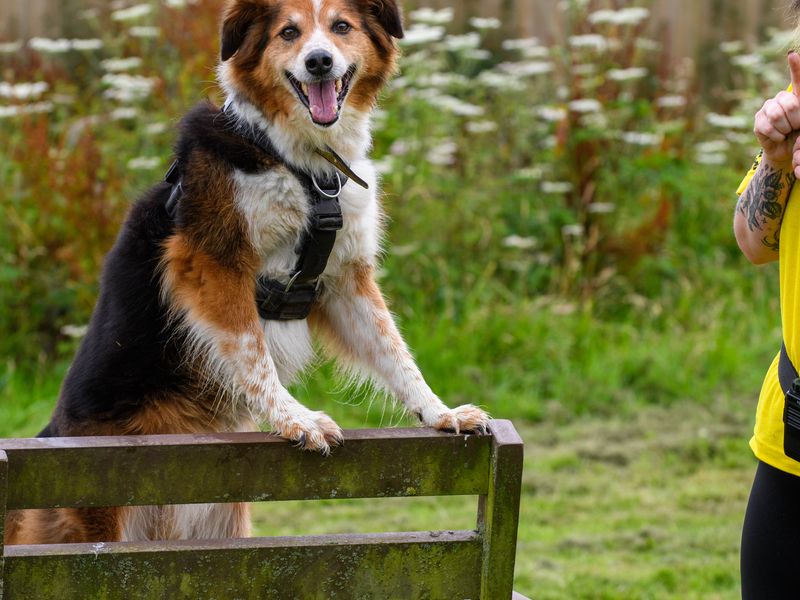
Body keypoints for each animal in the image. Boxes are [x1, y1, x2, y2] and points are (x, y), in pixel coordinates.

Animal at [6, 0, 490, 548]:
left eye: (341, 27)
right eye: (288, 33)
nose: (319, 62)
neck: (302, 163)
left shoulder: (344, 281)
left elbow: (395, 354)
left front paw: (441, 413)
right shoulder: (213, 266)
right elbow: (253, 353)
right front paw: (296, 418)